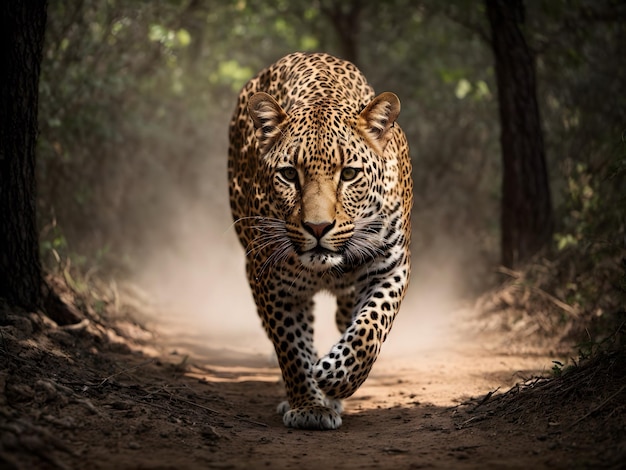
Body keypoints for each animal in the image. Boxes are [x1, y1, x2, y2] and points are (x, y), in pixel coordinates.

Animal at [227, 51, 412, 430]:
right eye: (288, 174)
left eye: (350, 174)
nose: (317, 227)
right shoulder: (272, 281)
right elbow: (291, 348)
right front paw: (310, 406)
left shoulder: (390, 265)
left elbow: (371, 327)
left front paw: (337, 378)